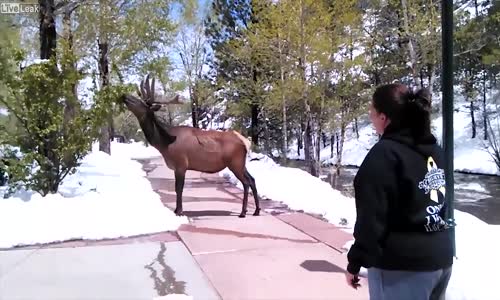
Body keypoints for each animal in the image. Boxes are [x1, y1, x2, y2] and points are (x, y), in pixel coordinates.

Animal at [121, 73, 262, 217]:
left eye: (141, 103)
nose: (124, 96)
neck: (164, 144)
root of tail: (245, 142)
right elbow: (177, 189)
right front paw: (177, 210)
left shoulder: (181, 164)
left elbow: (179, 189)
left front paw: (179, 211)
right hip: (241, 163)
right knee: (252, 179)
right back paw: (256, 211)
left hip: (235, 162)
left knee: (246, 182)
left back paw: (243, 212)